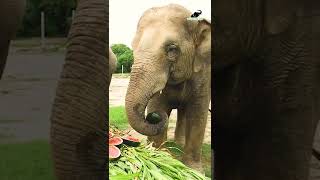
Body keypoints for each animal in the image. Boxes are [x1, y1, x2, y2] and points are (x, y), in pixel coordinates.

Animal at [125, 3, 212, 171]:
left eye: (172, 48)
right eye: (134, 47)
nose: (153, 117)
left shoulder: (204, 73)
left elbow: (198, 114)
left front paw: (194, 170)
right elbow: (157, 104)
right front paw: (159, 157)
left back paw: (178, 143)